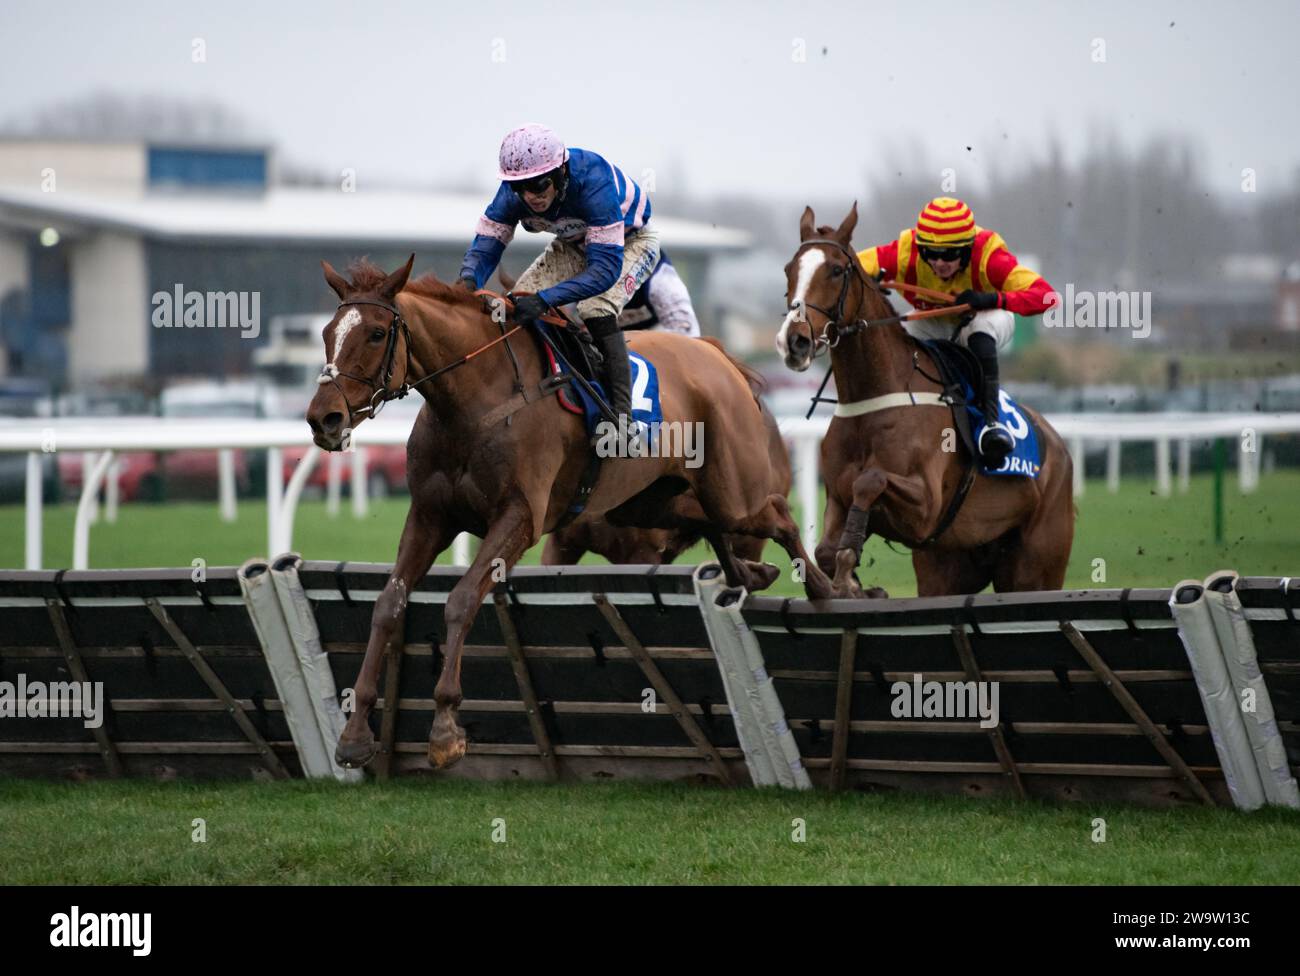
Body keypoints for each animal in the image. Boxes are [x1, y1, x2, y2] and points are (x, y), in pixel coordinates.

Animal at [305, 253, 832, 769]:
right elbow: (388, 605)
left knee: (776, 511)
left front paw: (446, 731)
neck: (474, 400)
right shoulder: (432, 517)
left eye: (376, 333)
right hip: (650, 501)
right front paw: (354, 735)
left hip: (730, 493)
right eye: (328, 333)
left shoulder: (521, 519)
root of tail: (715, 354)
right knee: (714, 523)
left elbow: (462, 600)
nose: (323, 418)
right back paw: (752, 574)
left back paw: (824, 586)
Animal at [774, 206, 1071, 595]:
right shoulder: (837, 497)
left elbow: (869, 481)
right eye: (789, 270)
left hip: (1035, 568)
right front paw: (854, 582)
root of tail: (1058, 446)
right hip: (947, 568)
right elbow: (825, 549)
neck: (874, 398)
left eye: (836, 270)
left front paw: (850, 568)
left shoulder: (926, 509)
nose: (794, 341)